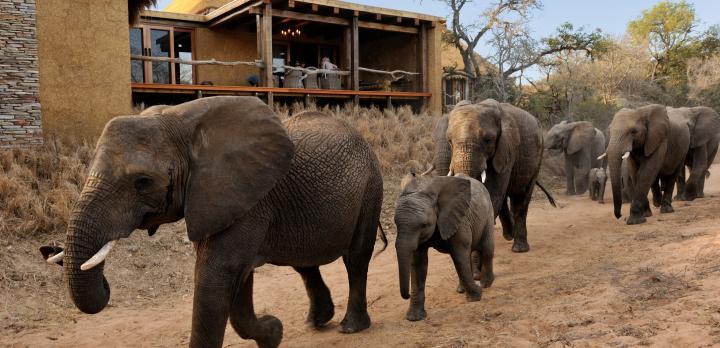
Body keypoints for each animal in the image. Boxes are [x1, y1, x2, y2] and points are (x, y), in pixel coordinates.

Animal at [43, 97, 386, 348]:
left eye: (143, 182)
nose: (48, 249)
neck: (181, 122)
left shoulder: (245, 198)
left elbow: (215, 276)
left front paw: (272, 330)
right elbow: (235, 280)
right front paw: (274, 333)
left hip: (371, 186)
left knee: (356, 258)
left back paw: (350, 327)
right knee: (304, 263)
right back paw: (316, 321)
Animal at [394, 173, 496, 322]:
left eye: (424, 225)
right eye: (395, 224)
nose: (407, 295)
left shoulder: (459, 220)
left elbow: (459, 254)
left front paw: (476, 296)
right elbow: (418, 263)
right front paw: (414, 318)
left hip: (488, 212)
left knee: (487, 248)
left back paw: (486, 284)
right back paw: (462, 290)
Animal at [444, 98, 552, 253]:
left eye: (488, 140)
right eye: (449, 141)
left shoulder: (507, 149)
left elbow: (494, 193)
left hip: (538, 156)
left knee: (520, 198)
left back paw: (519, 248)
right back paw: (509, 235)